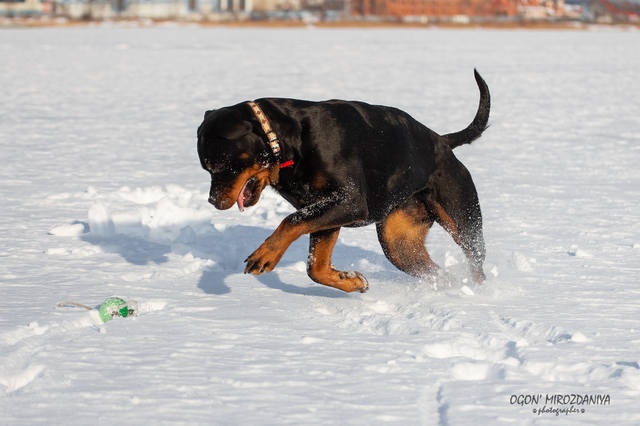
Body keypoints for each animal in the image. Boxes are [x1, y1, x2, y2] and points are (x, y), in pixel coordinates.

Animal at [199, 70, 490, 292]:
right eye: (206, 168)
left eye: (219, 166)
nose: (212, 200)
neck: (289, 141)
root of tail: (443, 141)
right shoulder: (323, 211)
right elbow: (314, 267)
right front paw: (352, 281)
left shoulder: (348, 201)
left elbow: (289, 222)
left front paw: (264, 255)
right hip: (398, 242)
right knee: (432, 270)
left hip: (462, 220)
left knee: (477, 263)